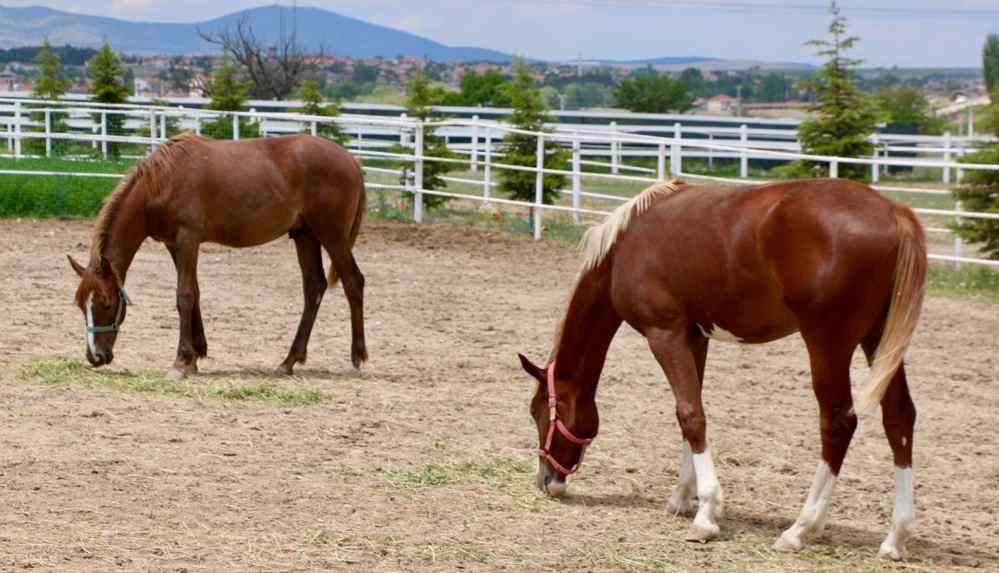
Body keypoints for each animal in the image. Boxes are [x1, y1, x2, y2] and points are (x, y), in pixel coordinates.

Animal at [68, 132, 370, 378]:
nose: (95, 356)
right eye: (82, 305)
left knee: (353, 282)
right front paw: (194, 356)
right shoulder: (174, 245)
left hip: (332, 236)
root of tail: (351, 161)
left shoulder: (188, 239)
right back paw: (288, 361)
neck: (162, 181)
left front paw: (180, 362)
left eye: (106, 304)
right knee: (314, 288)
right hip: (305, 235)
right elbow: (195, 294)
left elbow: (184, 296)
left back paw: (356, 358)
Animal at [524, 178, 928, 560]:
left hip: (828, 346)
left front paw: (706, 514)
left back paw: (800, 528)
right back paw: (895, 538)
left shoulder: (664, 335)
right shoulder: (694, 339)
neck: (624, 247)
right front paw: (682, 498)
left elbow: (691, 415)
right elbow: (688, 414)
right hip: (879, 342)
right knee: (899, 420)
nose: (546, 481)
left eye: (536, 411)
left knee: (838, 423)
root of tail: (895, 213)